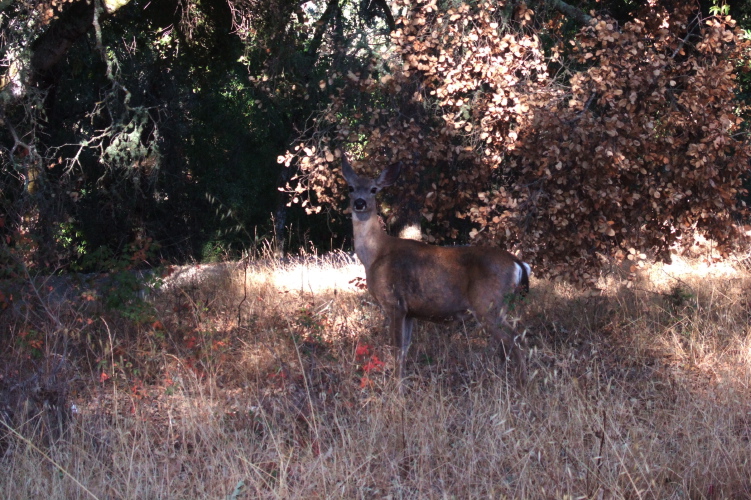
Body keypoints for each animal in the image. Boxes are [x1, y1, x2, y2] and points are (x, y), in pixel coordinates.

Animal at [341, 155, 531, 384]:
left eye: (374, 189)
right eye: (351, 187)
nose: (359, 203)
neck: (375, 254)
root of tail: (517, 263)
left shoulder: (394, 303)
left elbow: (396, 350)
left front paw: (396, 388)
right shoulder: (409, 311)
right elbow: (404, 351)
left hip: (488, 304)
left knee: (515, 340)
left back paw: (523, 384)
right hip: (499, 307)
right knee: (515, 340)